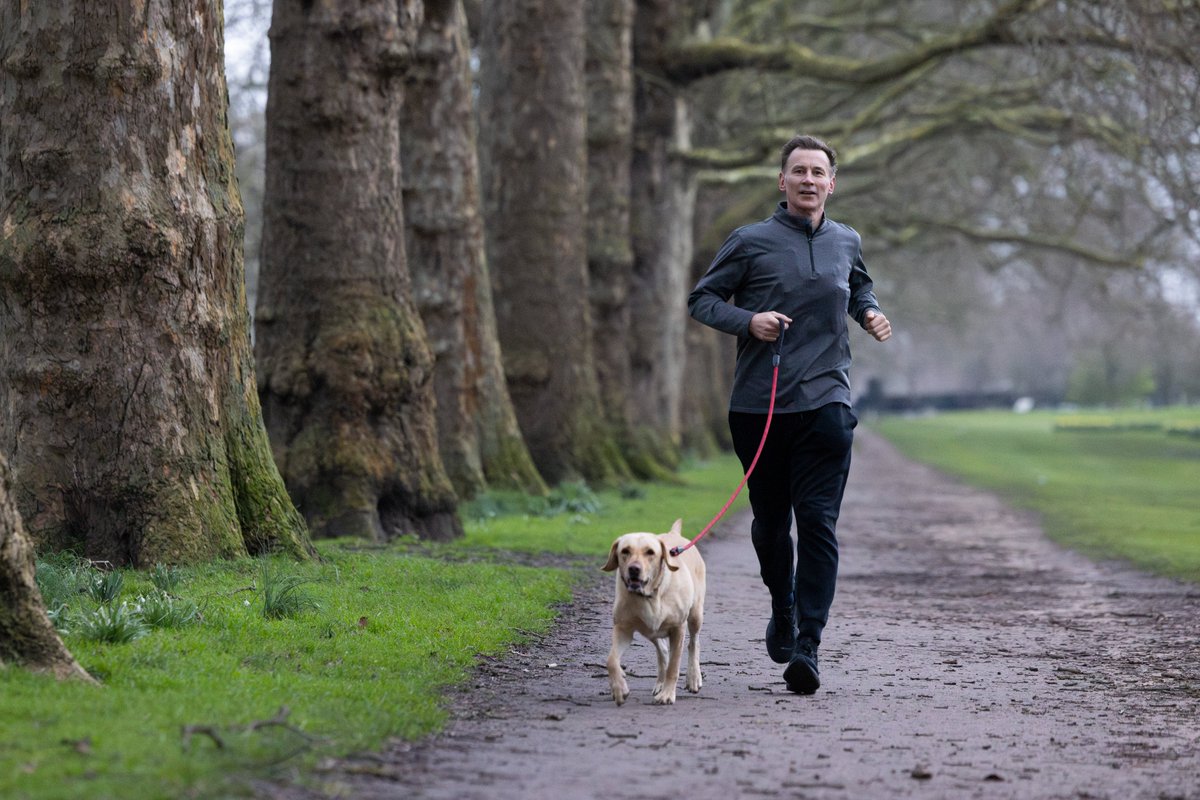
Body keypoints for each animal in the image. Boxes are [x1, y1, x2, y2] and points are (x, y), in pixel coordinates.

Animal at [600, 520, 700, 705]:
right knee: (662, 650)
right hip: (649, 631)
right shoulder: (623, 629)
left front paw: (667, 694)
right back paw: (660, 683)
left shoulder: (678, 628)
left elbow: (674, 665)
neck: (649, 597)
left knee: (694, 643)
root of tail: (674, 533)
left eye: (650, 552)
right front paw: (619, 689)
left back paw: (693, 678)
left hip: (696, 614)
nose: (634, 569)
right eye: (625, 551)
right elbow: (611, 660)